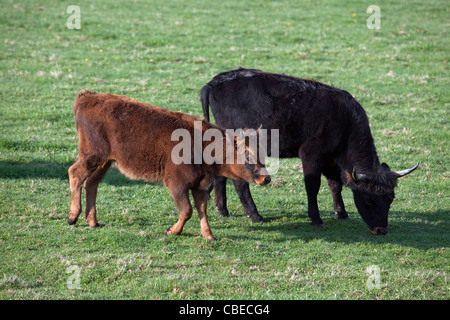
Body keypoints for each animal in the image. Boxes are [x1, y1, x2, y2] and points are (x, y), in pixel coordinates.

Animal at [67, 90, 270, 240]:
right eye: (247, 155)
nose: (266, 178)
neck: (203, 144)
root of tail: (88, 97)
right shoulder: (176, 184)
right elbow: (187, 211)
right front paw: (172, 231)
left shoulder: (200, 186)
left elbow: (201, 210)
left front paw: (209, 235)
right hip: (92, 156)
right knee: (75, 173)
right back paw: (72, 217)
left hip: (105, 162)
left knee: (91, 183)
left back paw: (93, 221)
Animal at [200, 67, 418, 235]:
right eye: (370, 201)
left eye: (390, 199)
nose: (382, 230)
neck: (344, 120)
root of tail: (216, 81)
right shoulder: (312, 155)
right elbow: (312, 186)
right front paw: (316, 218)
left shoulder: (331, 159)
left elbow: (335, 185)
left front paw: (341, 212)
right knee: (240, 183)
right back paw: (255, 215)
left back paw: (222, 210)